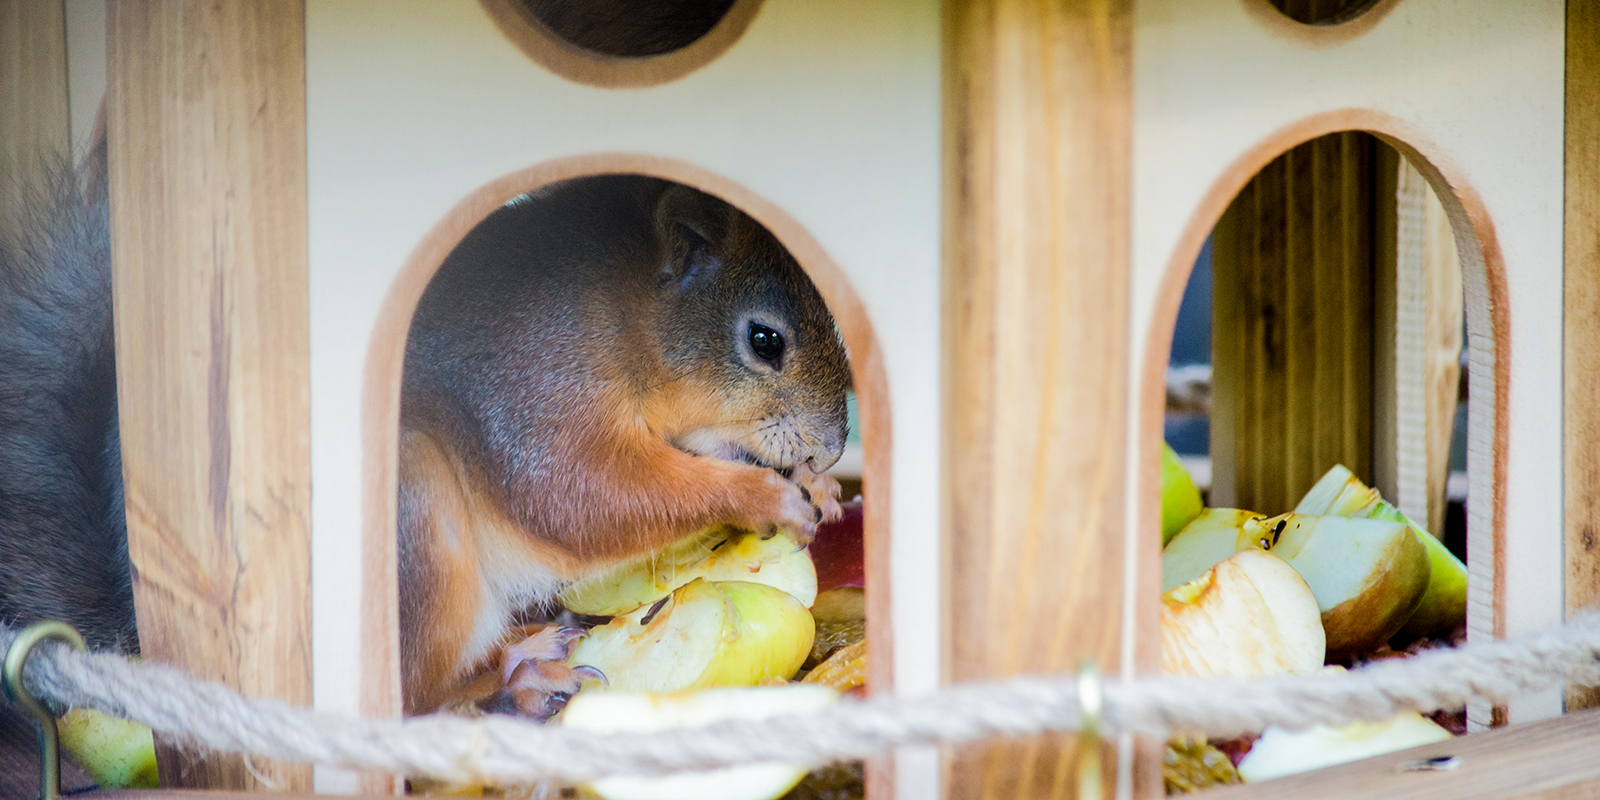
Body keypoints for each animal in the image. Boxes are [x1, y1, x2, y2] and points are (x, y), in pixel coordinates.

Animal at [395, 173, 851, 713]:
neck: (629, 319)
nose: (830, 451)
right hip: (417, 500)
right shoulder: (537, 382)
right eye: (765, 340)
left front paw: (818, 486)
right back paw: (521, 680)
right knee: (422, 697)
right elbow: (580, 493)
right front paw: (763, 496)